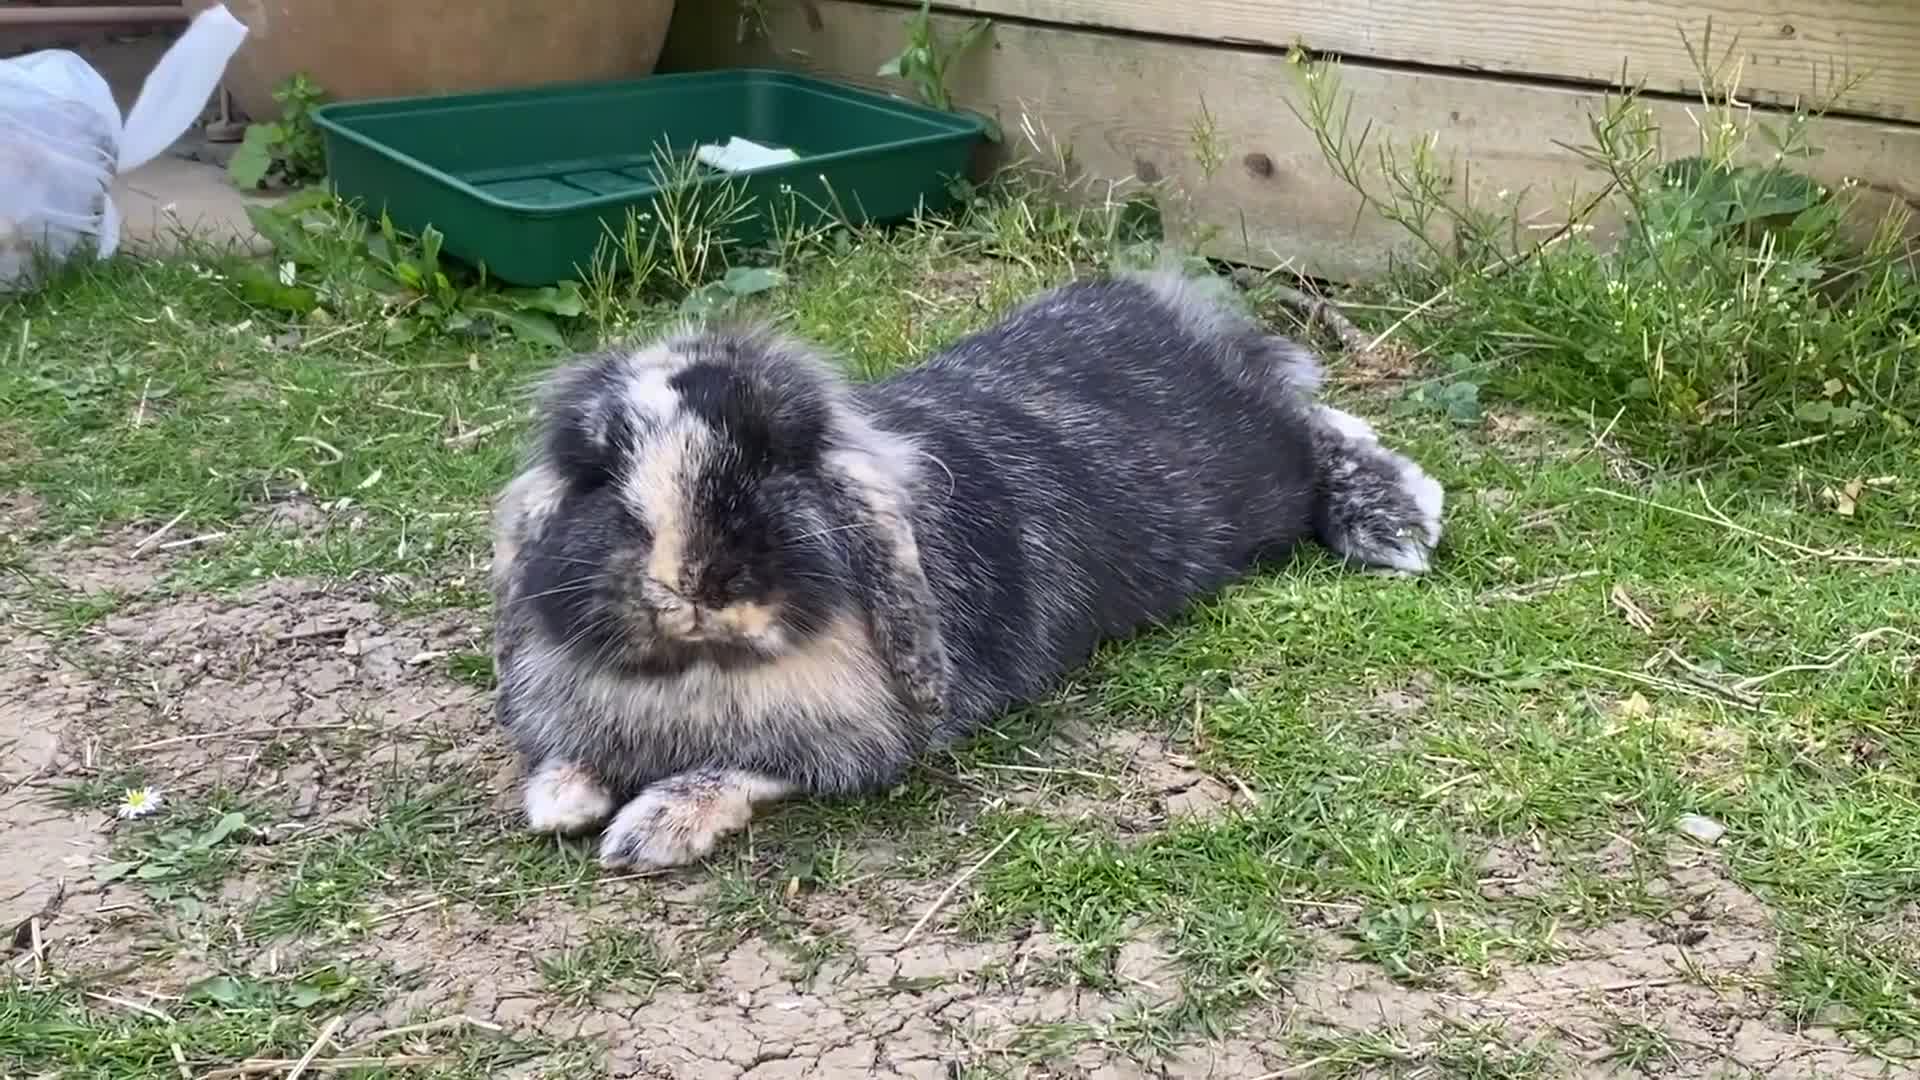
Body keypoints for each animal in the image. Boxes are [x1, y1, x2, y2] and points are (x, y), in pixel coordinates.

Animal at [489, 266, 1444, 870]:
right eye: (596, 471)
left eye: (777, 461)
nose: (693, 586)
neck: (701, 671)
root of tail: (1172, 309)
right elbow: (573, 757)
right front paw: (561, 802)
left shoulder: (850, 745)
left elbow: (733, 771)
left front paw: (644, 833)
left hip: (1264, 471)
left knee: (1325, 426)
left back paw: (1397, 520)